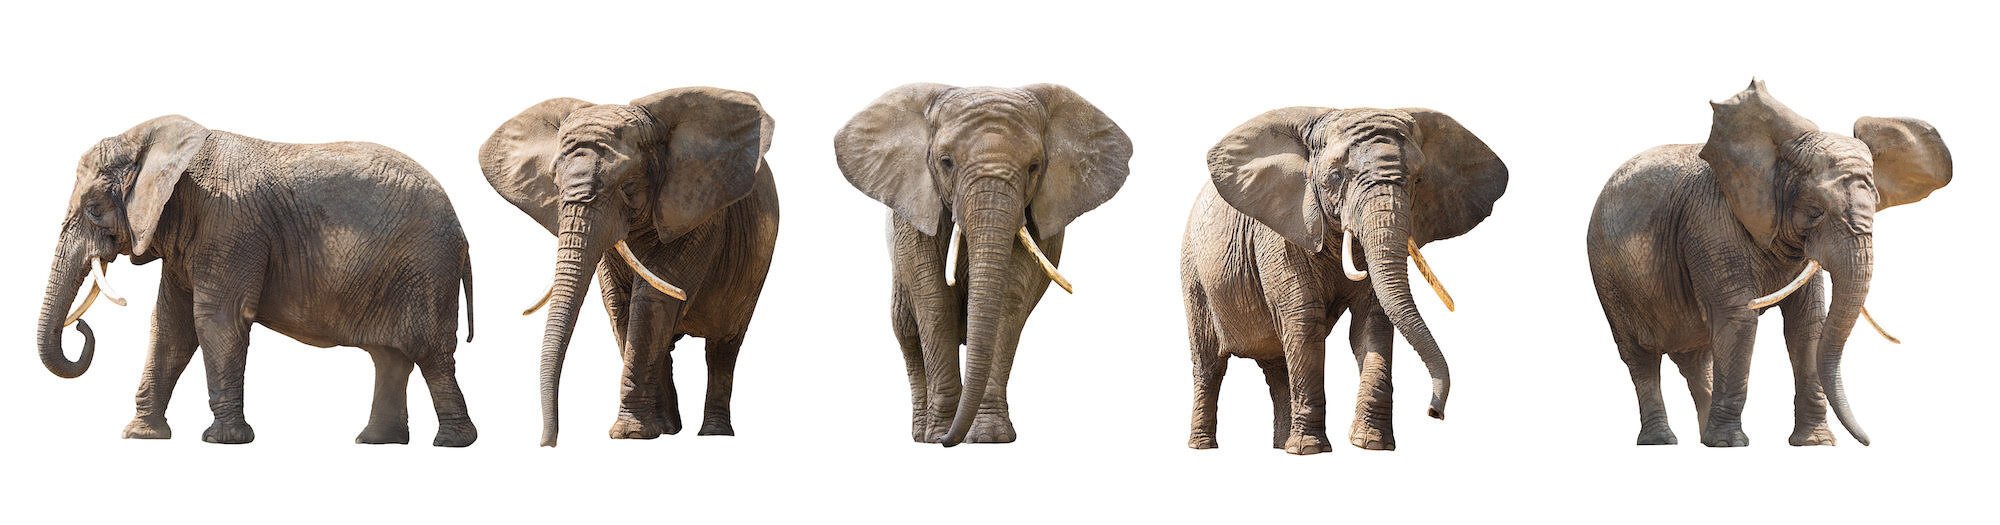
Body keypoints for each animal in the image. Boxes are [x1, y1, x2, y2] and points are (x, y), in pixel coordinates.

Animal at [37, 116, 478, 446]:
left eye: (93, 209)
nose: (79, 326)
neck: (162, 149)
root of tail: (461, 229)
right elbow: (170, 326)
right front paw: (142, 436)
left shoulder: (230, 226)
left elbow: (215, 320)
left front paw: (223, 440)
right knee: (389, 356)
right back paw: (376, 441)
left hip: (427, 268)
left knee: (431, 353)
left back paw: (450, 443)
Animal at [480, 87, 778, 447]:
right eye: (555, 182)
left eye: (627, 184)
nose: (546, 441)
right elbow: (621, 307)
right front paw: (647, 432)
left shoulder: (699, 215)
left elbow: (651, 301)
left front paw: (630, 435)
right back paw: (670, 428)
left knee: (723, 347)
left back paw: (713, 434)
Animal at [835, 83, 1132, 446]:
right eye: (946, 162)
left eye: (1034, 167)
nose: (950, 440)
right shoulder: (915, 210)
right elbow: (934, 302)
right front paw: (939, 434)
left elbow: (1007, 301)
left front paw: (989, 437)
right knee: (905, 329)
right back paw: (921, 434)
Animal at [1182, 107, 1507, 454]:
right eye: (1335, 177)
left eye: (1418, 180)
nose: (1434, 412)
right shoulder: (1282, 235)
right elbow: (1304, 321)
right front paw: (1310, 451)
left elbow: (1372, 322)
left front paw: (1371, 444)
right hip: (1194, 274)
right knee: (1210, 363)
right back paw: (1205, 446)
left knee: (1277, 365)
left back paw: (1282, 446)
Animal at [1586, 80, 1951, 447]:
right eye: (1816, 211)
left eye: (1876, 203)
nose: (1867, 441)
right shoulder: (1710, 223)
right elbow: (1738, 317)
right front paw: (1731, 445)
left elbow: (1807, 325)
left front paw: (1815, 444)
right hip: (1608, 275)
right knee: (1640, 357)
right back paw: (1663, 440)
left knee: (1697, 355)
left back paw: (1703, 438)